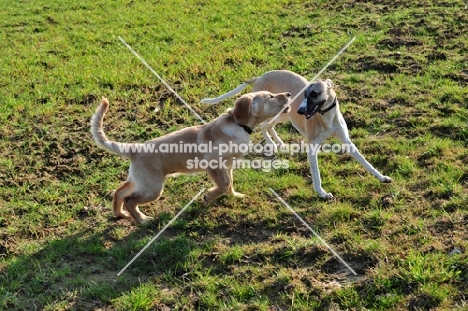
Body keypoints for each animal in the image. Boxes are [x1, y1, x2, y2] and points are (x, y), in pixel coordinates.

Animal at [89, 91, 290, 224]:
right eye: (271, 97)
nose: (288, 93)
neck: (237, 124)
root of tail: (135, 149)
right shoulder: (214, 164)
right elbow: (224, 184)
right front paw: (209, 197)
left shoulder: (228, 164)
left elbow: (229, 183)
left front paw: (234, 195)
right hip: (153, 188)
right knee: (130, 200)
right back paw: (142, 219)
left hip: (140, 181)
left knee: (119, 192)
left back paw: (119, 214)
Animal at [201, 70, 392, 200]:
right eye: (304, 94)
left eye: (314, 93)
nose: (301, 110)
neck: (326, 118)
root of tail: (261, 75)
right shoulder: (312, 148)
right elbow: (316, 174)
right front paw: (322, 193)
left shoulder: (347, 142)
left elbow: (366, 162)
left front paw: (382, 177)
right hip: (274, 112)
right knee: (264, 126)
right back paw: (272, 145)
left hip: (285, 113)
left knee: (269, 126)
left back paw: (279, 143)